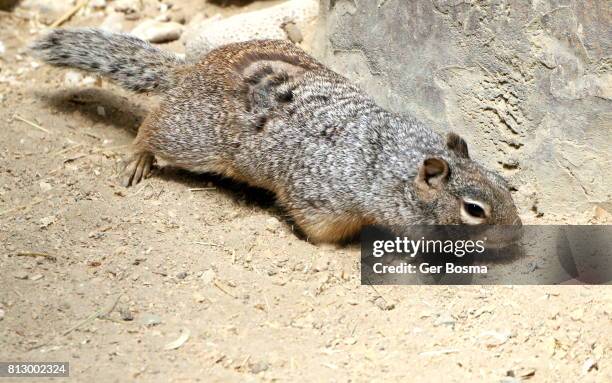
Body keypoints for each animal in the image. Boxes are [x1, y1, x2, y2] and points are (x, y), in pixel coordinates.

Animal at [31, 28, 520, 243]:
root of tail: (190, 69)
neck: (395, 166)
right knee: (152, 125)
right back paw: (138, 159)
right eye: (473, 210)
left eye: (506, 185)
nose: (519, 234)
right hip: (191, 138)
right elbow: (319, 230)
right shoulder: (321, 200)